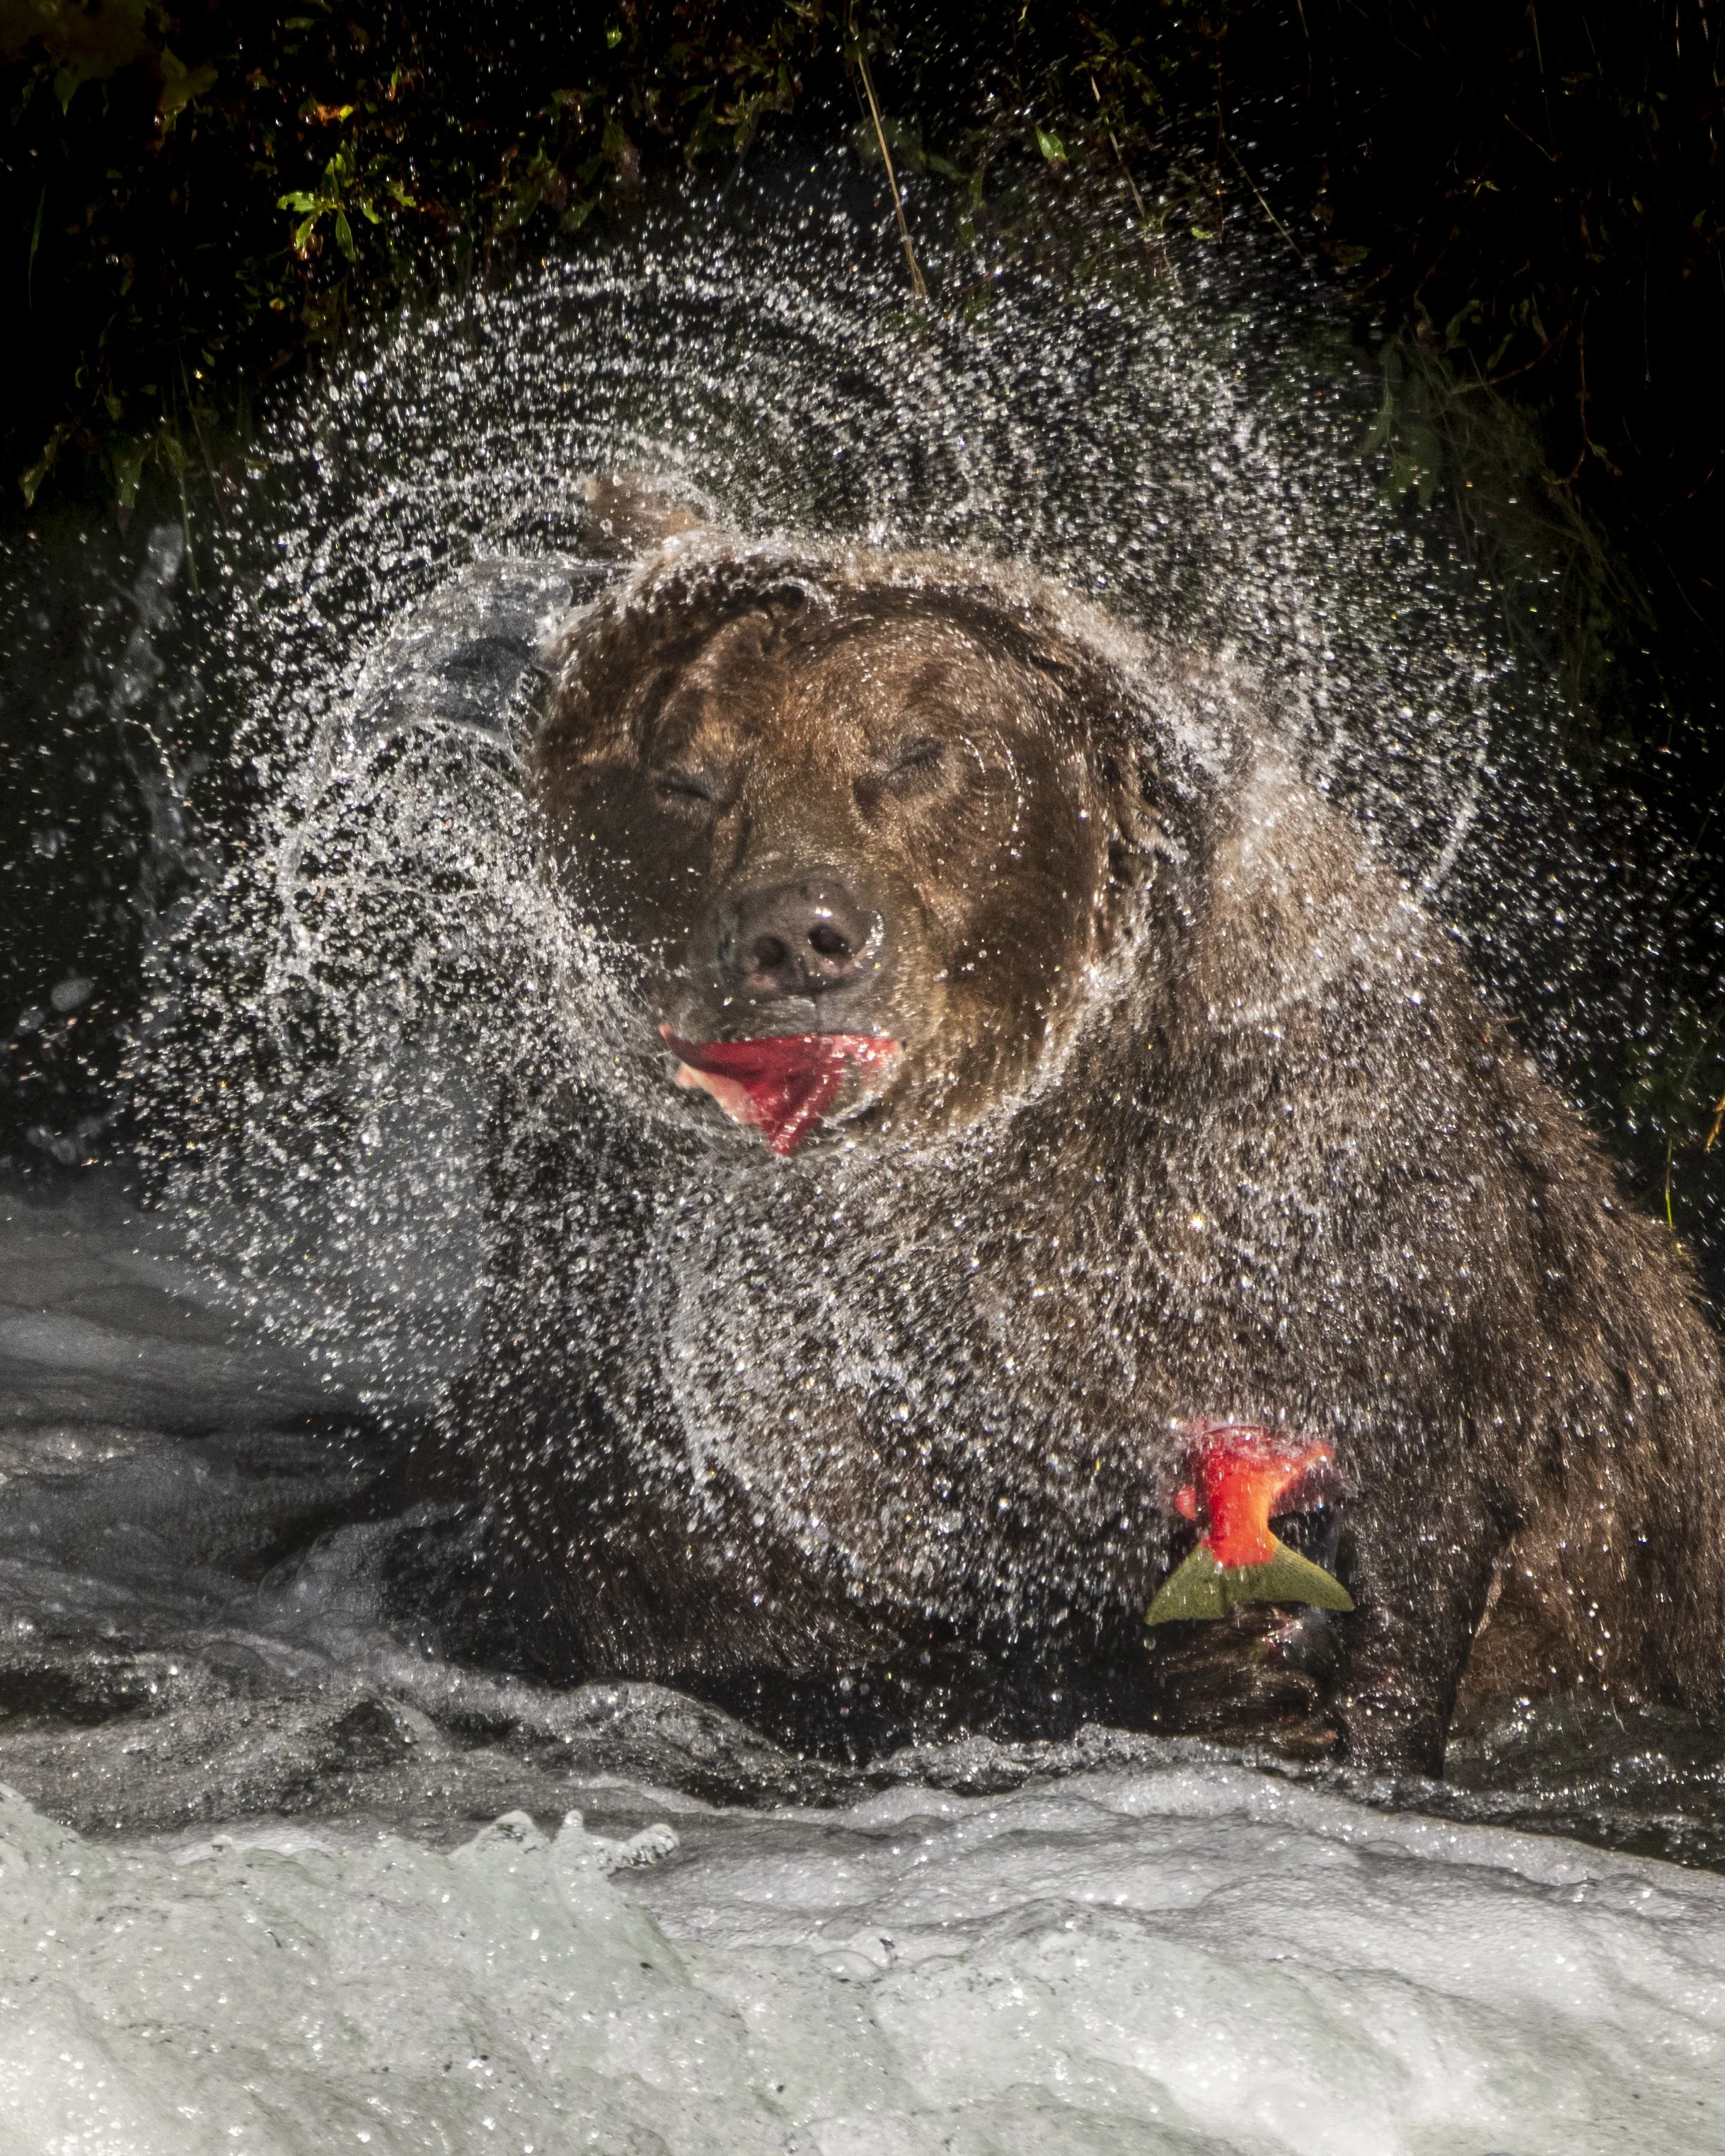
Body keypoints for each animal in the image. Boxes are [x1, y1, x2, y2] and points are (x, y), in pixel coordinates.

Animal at [440, 515, 1725, 1777]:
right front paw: (1222, 1672)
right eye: (688, 777)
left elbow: (1428, 1493)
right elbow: (725, 1604)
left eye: (914, 754)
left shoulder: (1323, 1205)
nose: (798, 933)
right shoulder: (658, 1320)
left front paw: (1306, 1677)